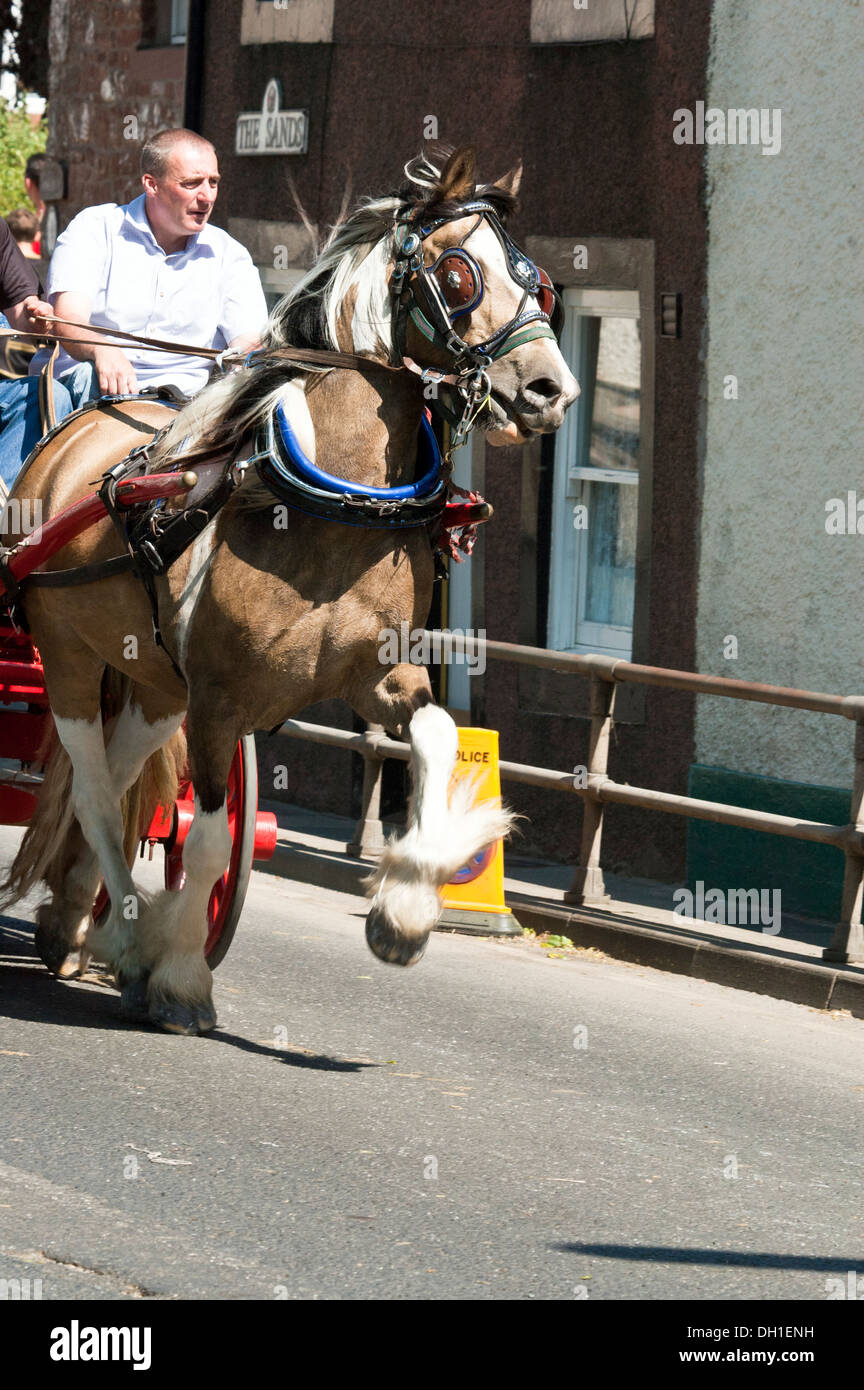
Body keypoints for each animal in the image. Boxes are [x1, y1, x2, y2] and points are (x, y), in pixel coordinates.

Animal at [1, 149, 583, 1034]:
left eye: (539, 281)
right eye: (459, 273)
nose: (554, 389)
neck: (331, 500)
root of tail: (76, 433)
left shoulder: (373, 673)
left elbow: (438, 736)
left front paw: (405, 910)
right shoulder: (218, 699)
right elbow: (208, 841)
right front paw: (181, 978)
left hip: (150, 681)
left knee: (118, 776)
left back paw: (77, 920)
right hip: (68, 658)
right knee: (98, 793)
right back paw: (127, 941)